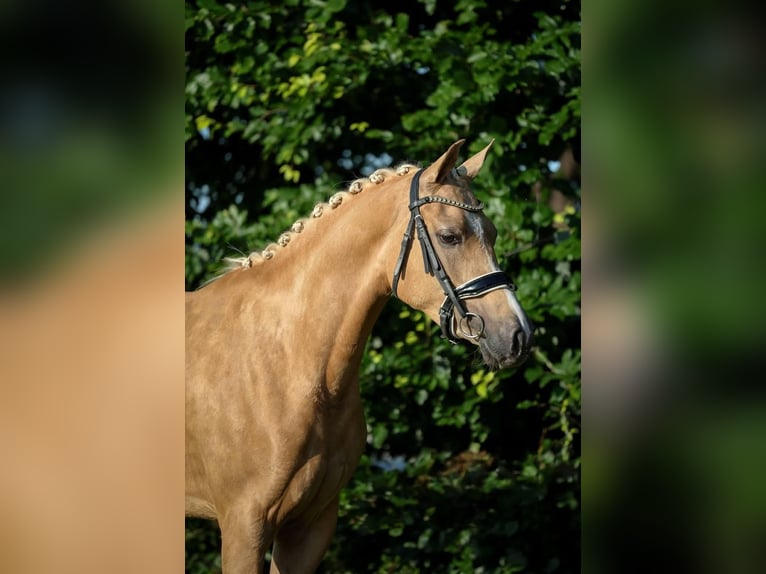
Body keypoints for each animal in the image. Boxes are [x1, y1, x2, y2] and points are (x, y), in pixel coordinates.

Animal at [186, 141, 536, 574]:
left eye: (492, 233)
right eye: (450, 236)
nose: (518, 335)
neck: (288, 362)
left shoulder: (310, 526)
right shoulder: (243, 526)